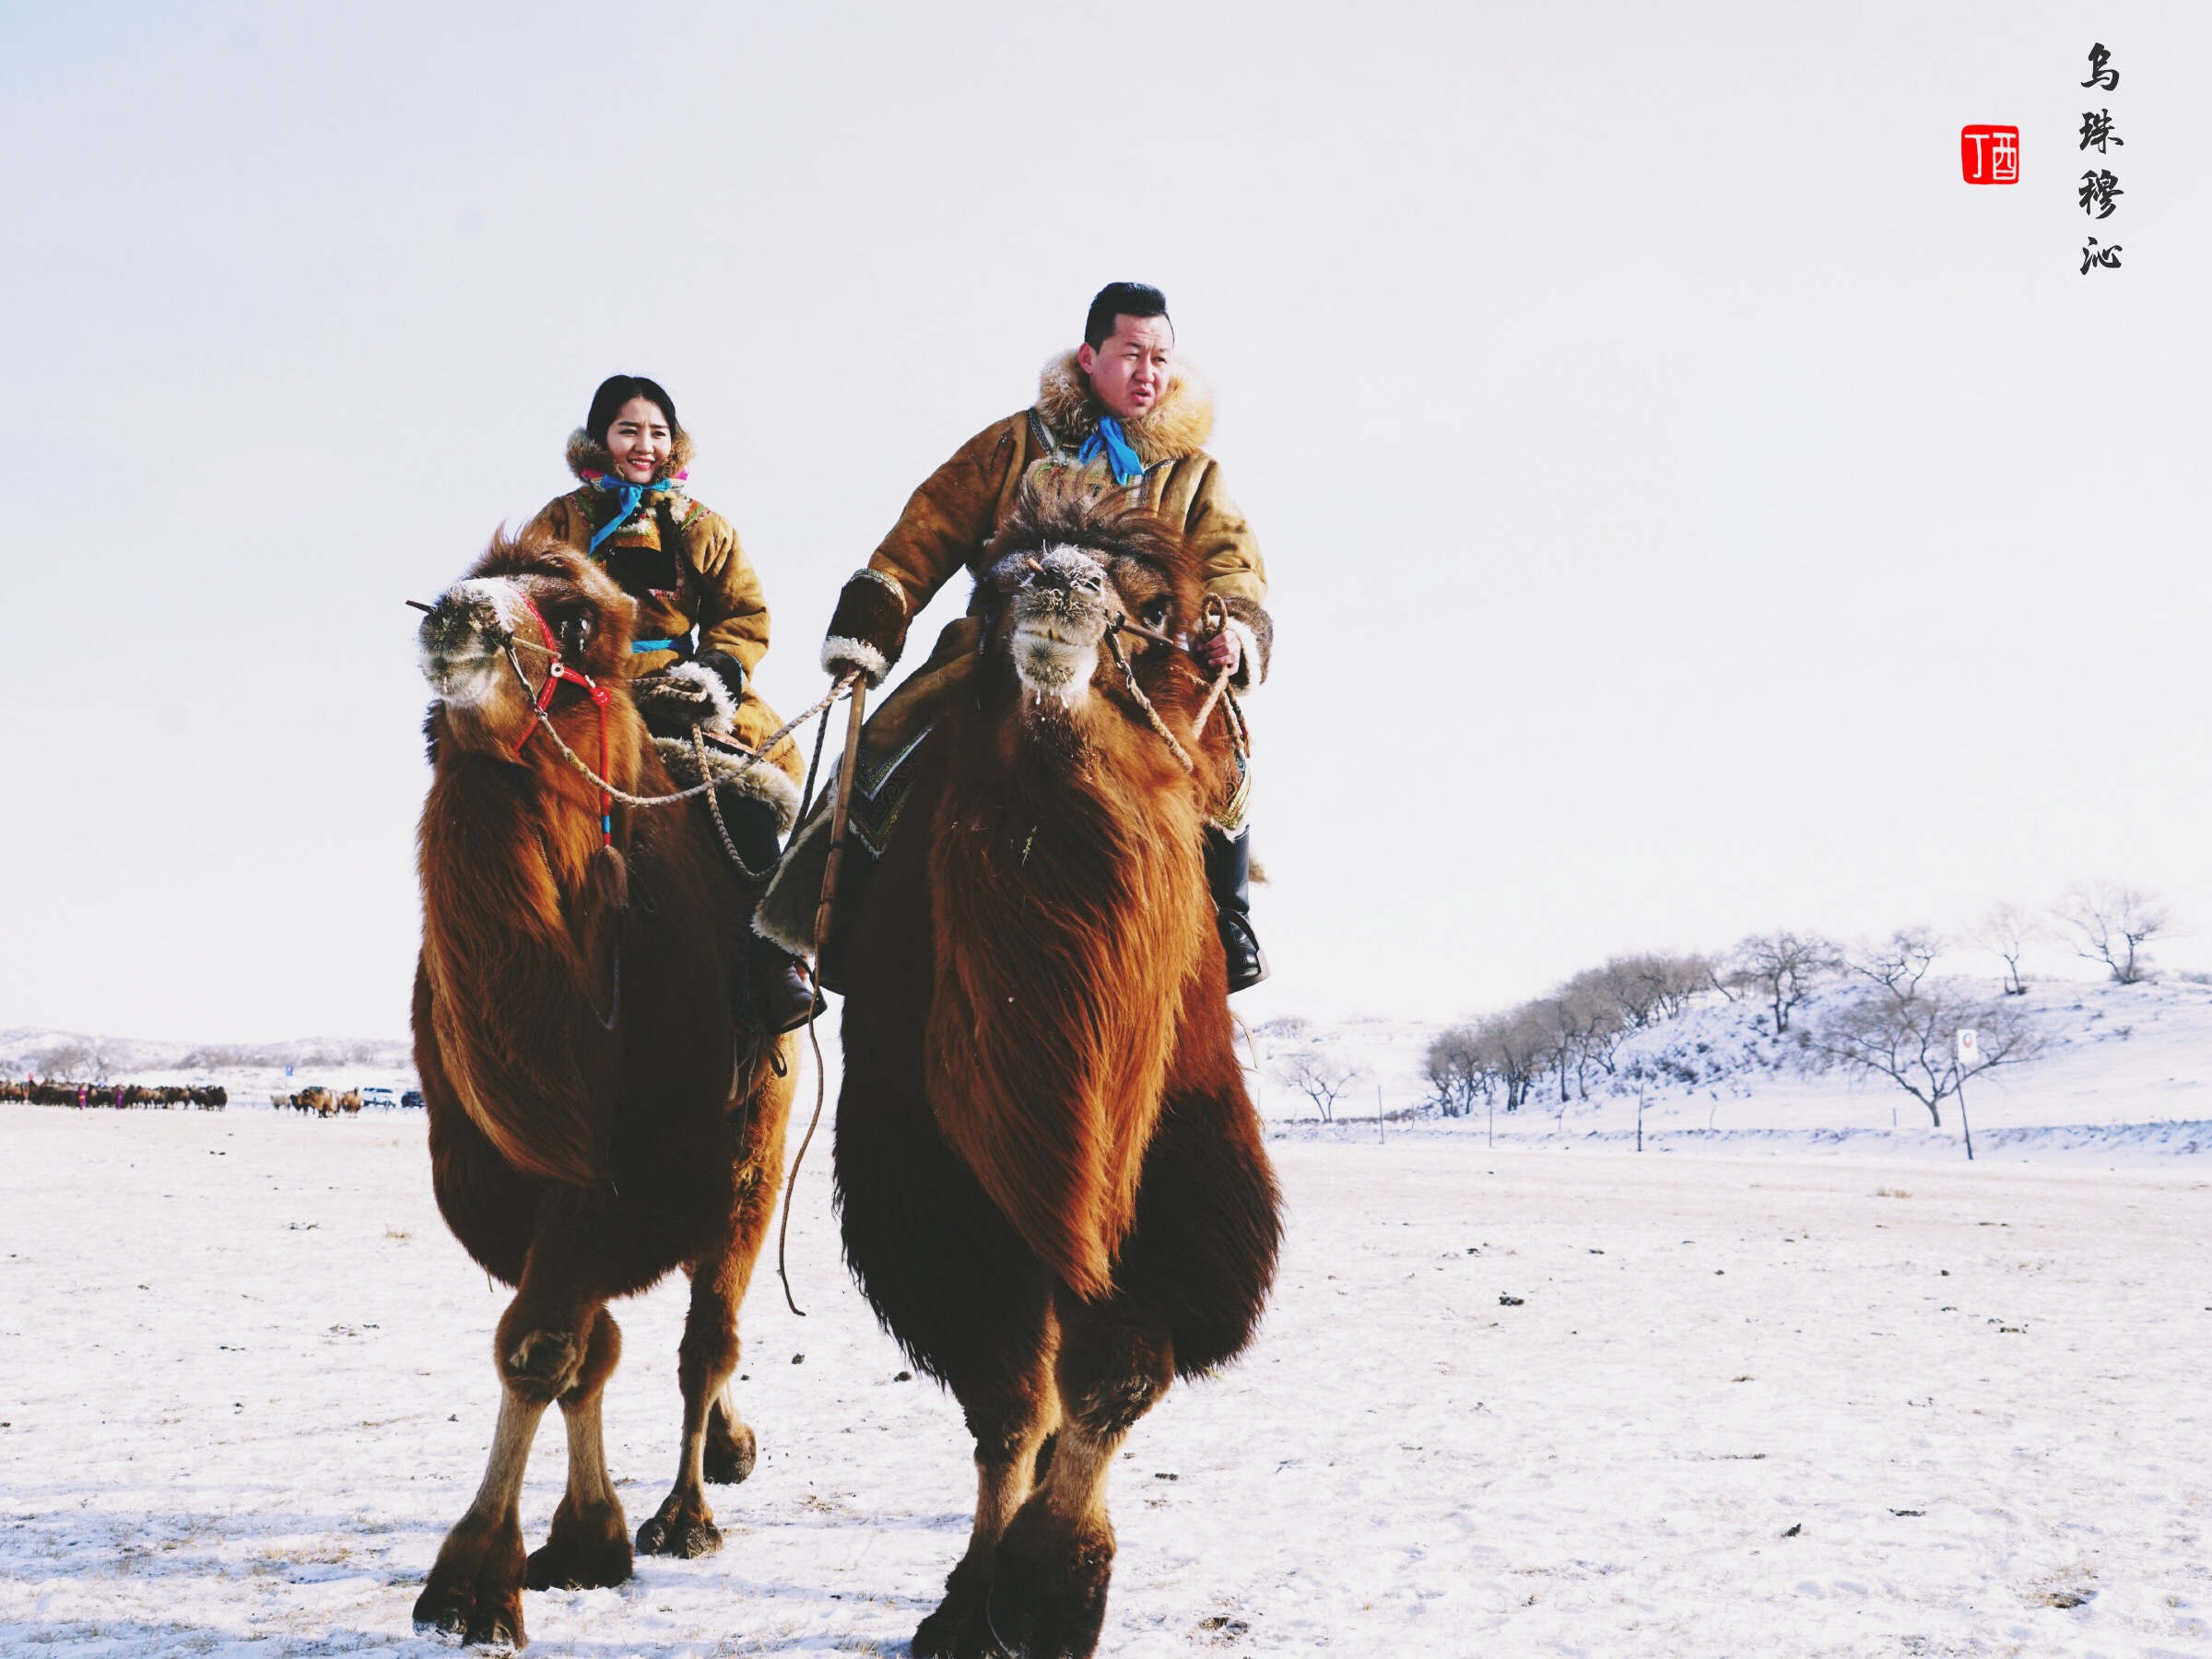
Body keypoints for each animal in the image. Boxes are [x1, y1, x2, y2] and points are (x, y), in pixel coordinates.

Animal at [411, 533, 800, 1654]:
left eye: (574, 617)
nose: (456, 612)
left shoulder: (643, 1166)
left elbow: (551, 1347)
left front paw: (472, 1584)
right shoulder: (510, 1182)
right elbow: (573, 1350)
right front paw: (581, 1540)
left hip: (752, 1157)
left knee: (708, 1337)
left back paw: (688, 1511)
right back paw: (723, 1455)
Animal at [827, 479, 1283, 1659]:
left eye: (1160, 607)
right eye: (987, 587)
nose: (1055, 583)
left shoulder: (1185, 1157)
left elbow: (1120, 1372)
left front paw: (1052, 1589)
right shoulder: (928, 1177)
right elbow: (1006, 1398)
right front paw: (972, 1604)